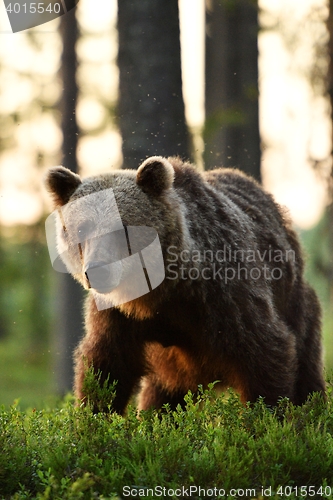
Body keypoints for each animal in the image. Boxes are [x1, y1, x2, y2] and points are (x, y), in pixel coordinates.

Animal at [44, 157, 324, 414]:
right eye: (82, 229)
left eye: (122, 228)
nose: (97, 271)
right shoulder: (117, 315)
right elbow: (107, 368)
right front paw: (92, 418)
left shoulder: (225, 295)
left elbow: (264, 352)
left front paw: (266, 419)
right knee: (162, 397)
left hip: (296, 302)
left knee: (307, 369)